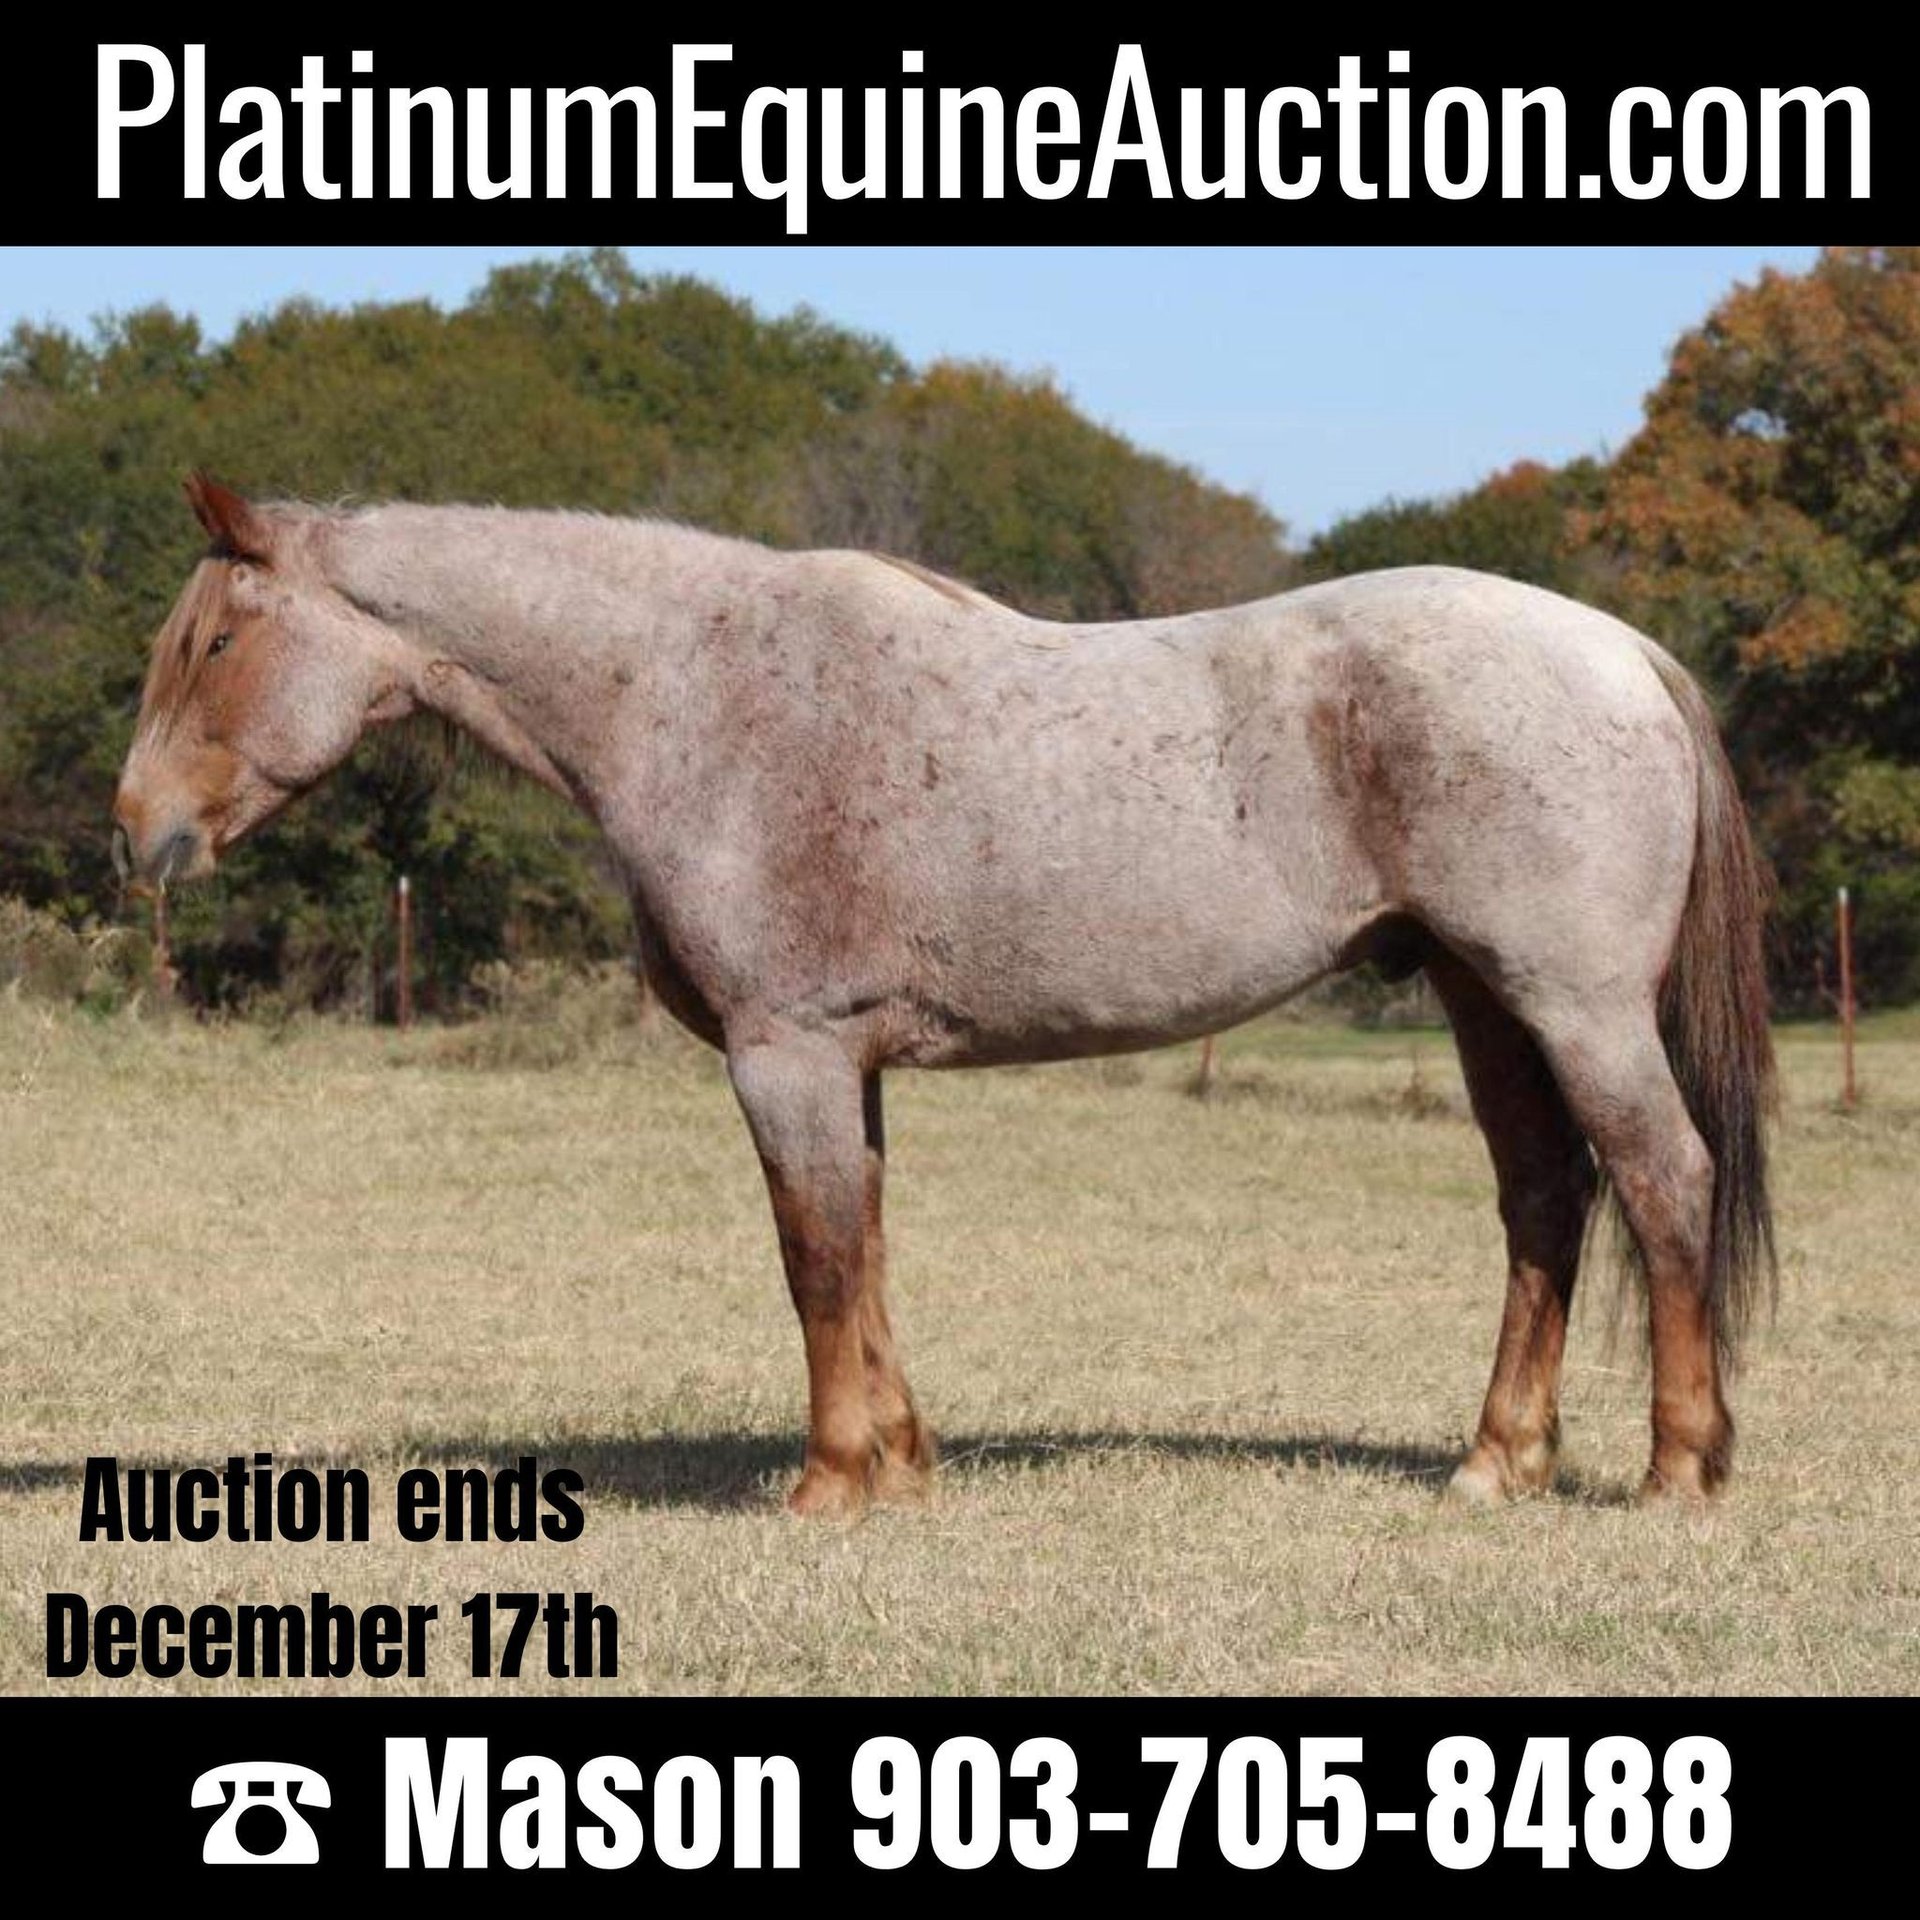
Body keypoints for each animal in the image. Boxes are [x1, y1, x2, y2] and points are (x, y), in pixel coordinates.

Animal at [112, 474, 1775, 1516]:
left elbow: (814, 1261)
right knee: (1547, 1206)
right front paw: (903, 1463)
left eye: (217, 638)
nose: (139, 834)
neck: (698, 694)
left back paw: (1679, 1468)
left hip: (1574, 1009)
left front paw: (828, 1483)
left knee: (1665, 1184)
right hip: (1490, 1007)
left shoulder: (784, 1056)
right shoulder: (846, 1067)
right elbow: (867, 1253)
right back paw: (1495, 1464)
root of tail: (1622, 651)